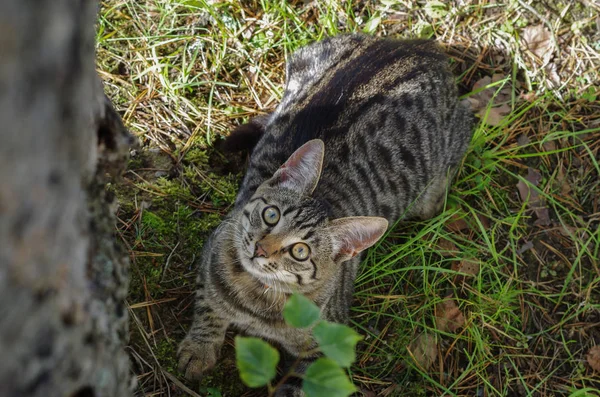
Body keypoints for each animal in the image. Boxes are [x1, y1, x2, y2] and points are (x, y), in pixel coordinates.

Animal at [178, 34, 474, 392]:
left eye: (300, 251)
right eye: (271, 215)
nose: (260, 249)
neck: (256, 297)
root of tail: (426, 48)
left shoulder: (328, 349)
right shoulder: (213, 250)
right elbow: (208, 304)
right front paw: (199, 347)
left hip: (432, 188)